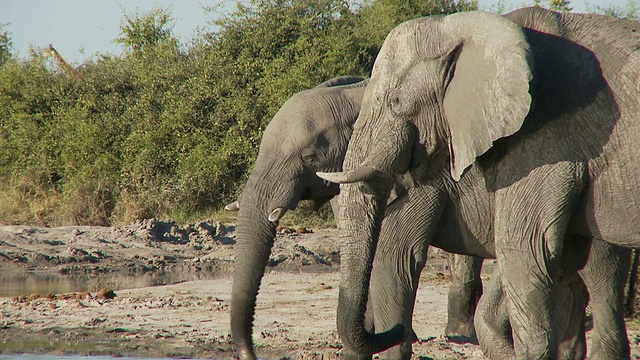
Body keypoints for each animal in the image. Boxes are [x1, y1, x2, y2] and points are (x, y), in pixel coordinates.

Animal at [318, 6, 640, 360]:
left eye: (396, 101)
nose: (400, 331)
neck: (467, 27)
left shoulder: (545, 141)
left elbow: (523, 250)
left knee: (601, 274)